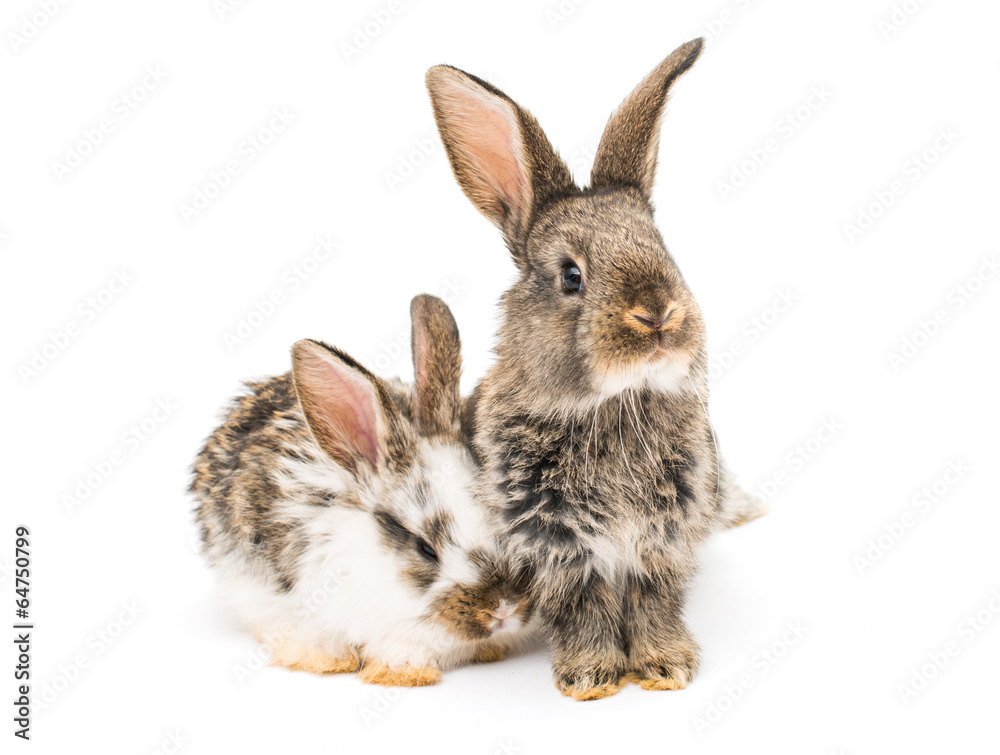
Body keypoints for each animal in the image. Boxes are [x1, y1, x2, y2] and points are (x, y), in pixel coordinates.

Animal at [426, 37, 764, 700]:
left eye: (664, 250)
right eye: (571, 276)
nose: (656, 314)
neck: (613, 406)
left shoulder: (662, 541)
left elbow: (654, 601)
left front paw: (665, 667)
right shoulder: (555, 545)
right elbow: (585, 606)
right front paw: (591, 677)